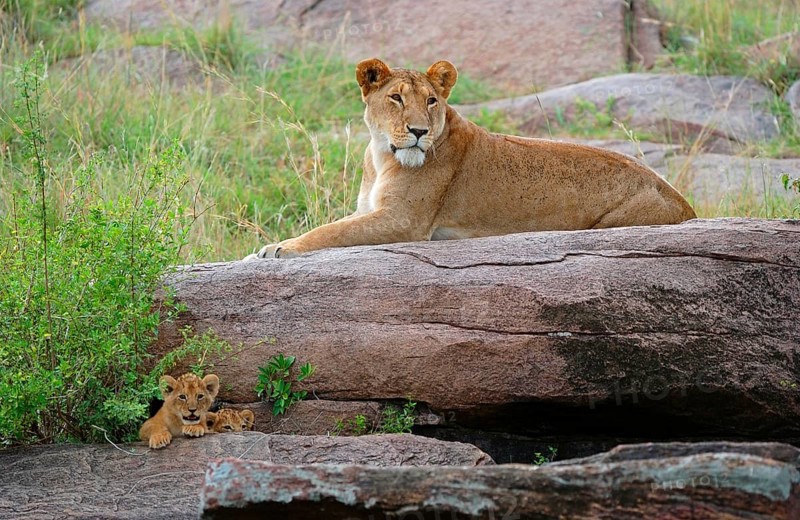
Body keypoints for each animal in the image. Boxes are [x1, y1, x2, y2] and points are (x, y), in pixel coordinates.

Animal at [246, 58, 696, 259]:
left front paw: (276, 248)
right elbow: (336, 225)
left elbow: (332, 231)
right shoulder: (373, 210)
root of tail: (686, 204)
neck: (381, 154)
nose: (418, 132)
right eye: (396, 99)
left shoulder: (404, 221)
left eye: (431, 101)